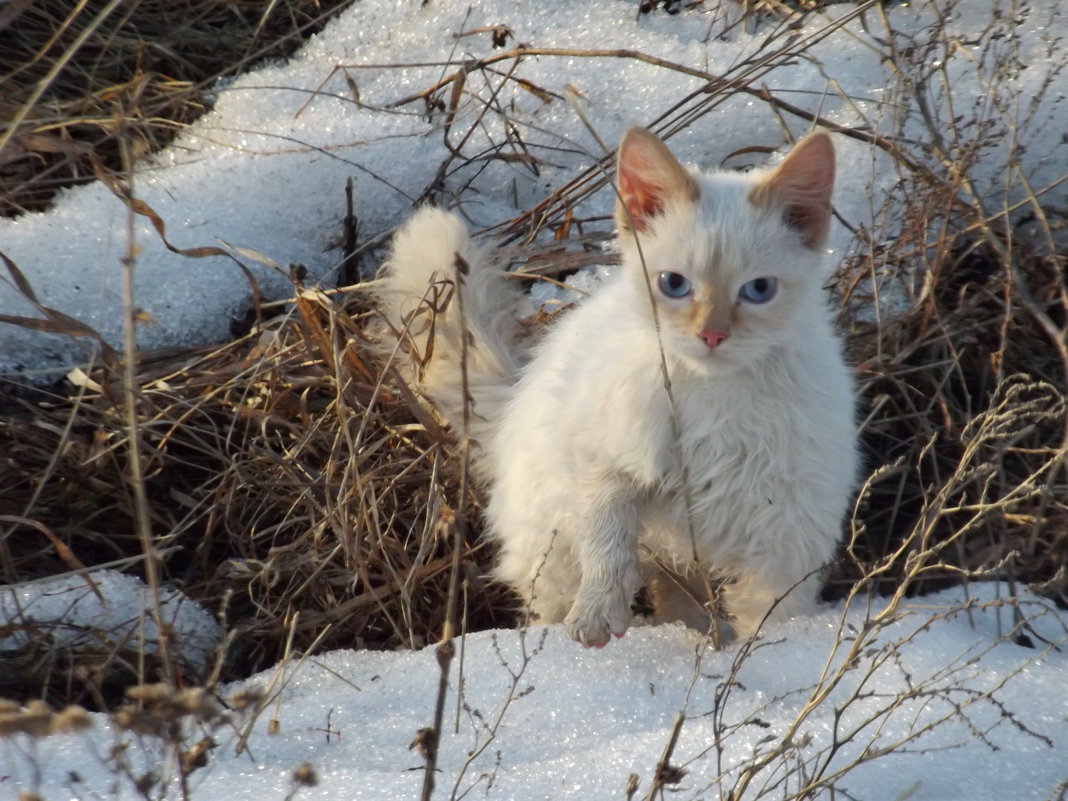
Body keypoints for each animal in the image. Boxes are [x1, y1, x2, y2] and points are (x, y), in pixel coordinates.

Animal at [371, 128, 854, 649]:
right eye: (673, 284)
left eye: (759, 290)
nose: (711, 335)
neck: (709, 394)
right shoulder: (604, 457)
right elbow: (608, 543)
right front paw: (598, 615)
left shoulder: (789, 527)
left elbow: (772, 613)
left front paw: (770, 651)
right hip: (551, 546)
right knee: (554, 596)